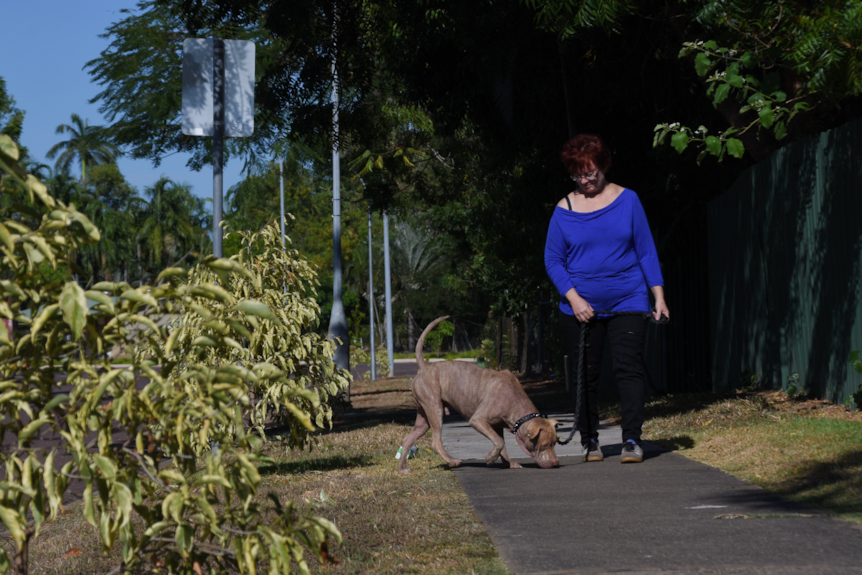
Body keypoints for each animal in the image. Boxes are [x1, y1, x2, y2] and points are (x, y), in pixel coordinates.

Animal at [396, 318, 560, 474]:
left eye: (555, 443)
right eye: (545, 444)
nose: (555, 463)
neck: (516, 403)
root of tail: (425, 366)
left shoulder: (496, 425)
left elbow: (501, 443)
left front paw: (508, 463)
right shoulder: (477, 420)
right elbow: (499, 441)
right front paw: (490, 458)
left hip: (424, 418)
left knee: (408, 439)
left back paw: (403, 469)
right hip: (435, 408)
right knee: (436, 441)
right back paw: (452, 461)